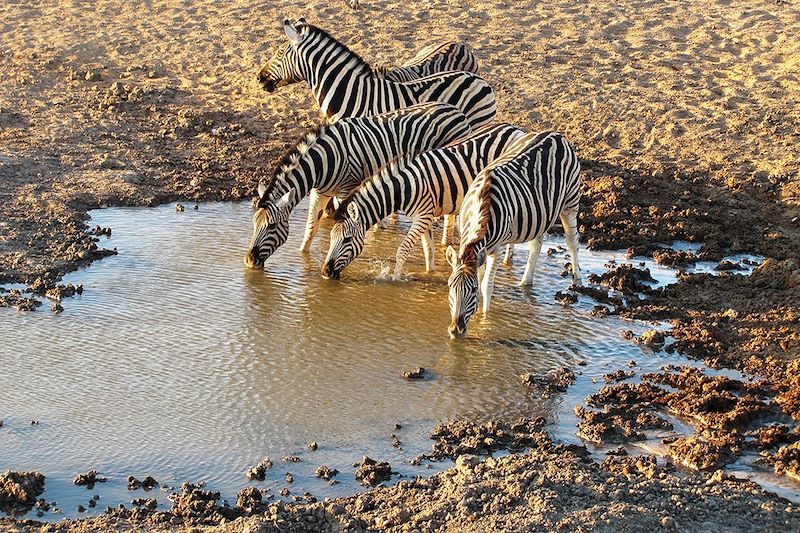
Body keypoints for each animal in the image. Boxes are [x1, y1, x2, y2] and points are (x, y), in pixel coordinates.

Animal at [242, 101, 468, 268]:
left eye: (271, 226)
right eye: (253, 223)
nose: (249, 261)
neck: (323, 161)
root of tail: (455, 109)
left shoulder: (346, 189)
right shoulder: (320, 193)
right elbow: (311, 228)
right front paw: (303, 256)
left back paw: (446, 240)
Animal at [322, 121, 528, 278]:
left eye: (347, 239)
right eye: (331, 237)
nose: (325, 272)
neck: (406, 187)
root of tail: (514, 128)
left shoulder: (422, 217)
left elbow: (402, 250)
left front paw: (394, 279)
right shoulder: (425, 216)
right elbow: (429, 250)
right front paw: (429, 274)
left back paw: (508, 259)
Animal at [444, 130, 580, 336]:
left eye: (473, 290)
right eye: (450, 287)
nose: (455, 330)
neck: (481, 206)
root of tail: (555, 134)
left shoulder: (497, 249)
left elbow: (486, 284)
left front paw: (485, 319)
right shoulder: (479, 251)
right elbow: (481, 275)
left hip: (570, 202)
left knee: (572, 241)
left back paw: (577, 279)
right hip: (540, 214)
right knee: (536, 246)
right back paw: (525, 282)